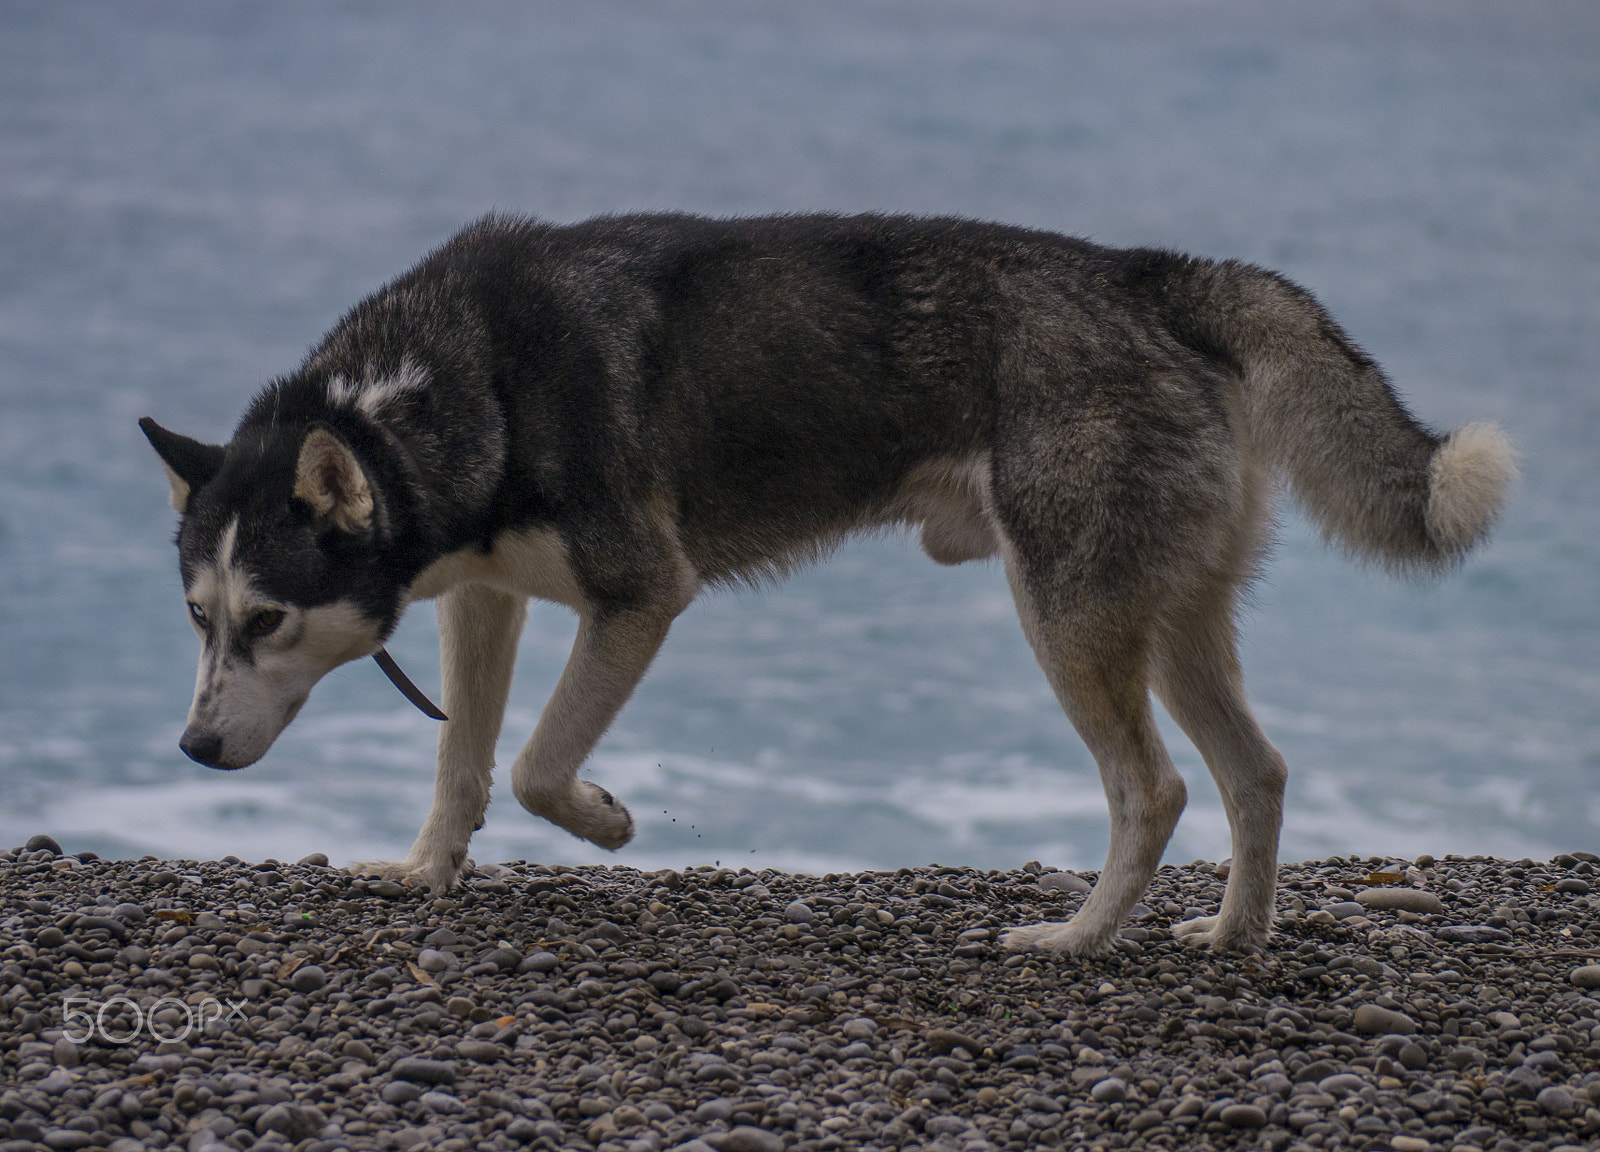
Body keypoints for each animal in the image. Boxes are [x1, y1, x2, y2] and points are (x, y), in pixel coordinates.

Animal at [140, 214, 1510, 953]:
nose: (194, 749)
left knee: (1156, 788)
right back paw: (1231, 936)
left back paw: (1077, 939)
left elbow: (533, 767)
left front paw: (607, 820)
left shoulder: (642, 595)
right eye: (199, 619)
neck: (442, 388)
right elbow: (464, 762)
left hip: (1068, 613)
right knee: (1255, 773)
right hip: (1166, 614)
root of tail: (1147, 273)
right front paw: (428, 871)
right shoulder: (487, 599)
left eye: (268, 619)